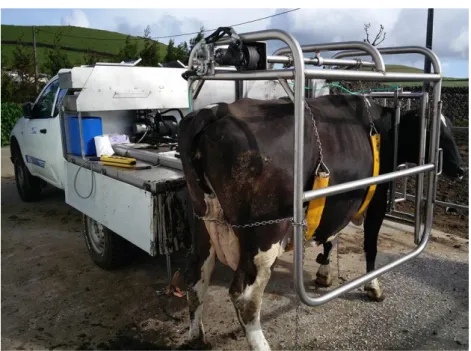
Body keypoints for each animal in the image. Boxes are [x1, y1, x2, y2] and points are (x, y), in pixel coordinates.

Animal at [178, 95, 468, 350]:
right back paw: (261, 344)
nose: (461, 169)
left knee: (196, 276)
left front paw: (324, 273)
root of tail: (216, 111)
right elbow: (370, 247)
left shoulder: (335, 201)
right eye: (434, 129)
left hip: (202, 222)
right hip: (265, 234)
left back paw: (196, 337)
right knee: (245, 297)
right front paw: (373, 286)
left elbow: (330, 237)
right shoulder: (376, 199)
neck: (381, 128)